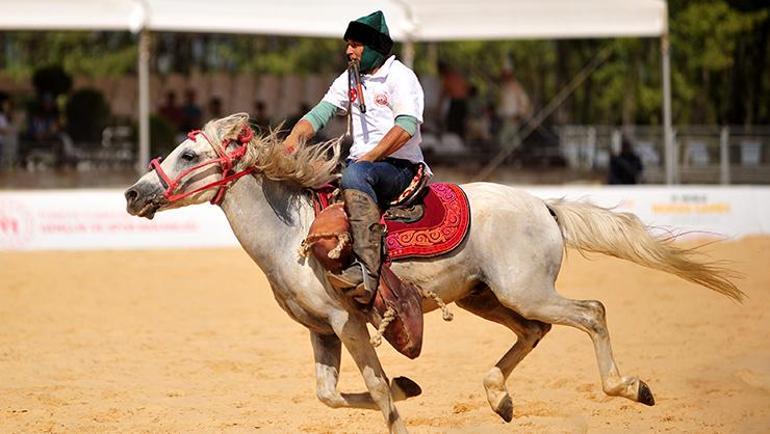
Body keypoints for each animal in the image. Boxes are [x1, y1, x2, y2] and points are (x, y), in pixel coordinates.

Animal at [123, 113, 740, 432]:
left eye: (187, 155)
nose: (132, 193)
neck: (292, 233)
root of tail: (544, 207)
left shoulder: (348, 323)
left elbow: (372, 385)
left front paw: (396, 400)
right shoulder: (321, 331)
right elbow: (330, 395)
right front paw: (407, 386)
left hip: (527, 290)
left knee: (591, 312)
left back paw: (628, 386)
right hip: (484, 297)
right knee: (534, 332)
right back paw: (498, 397)